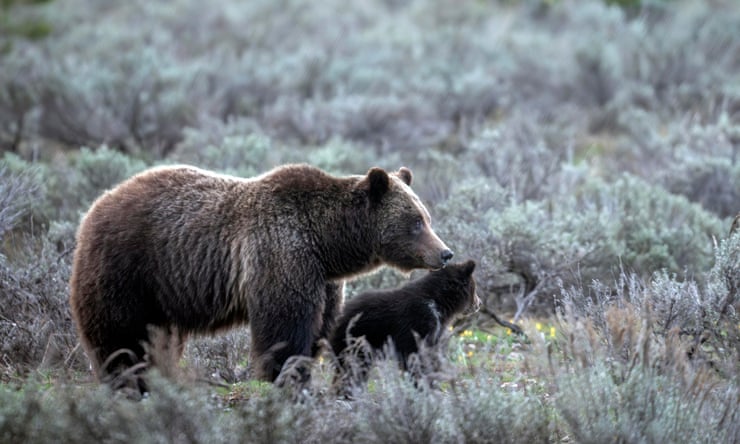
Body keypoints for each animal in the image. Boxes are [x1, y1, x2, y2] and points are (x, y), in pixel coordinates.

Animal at [68, 163, 453, 390]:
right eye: (415, 222)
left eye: (426, 217)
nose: (445, 253)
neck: (327, 243)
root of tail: (95, 206)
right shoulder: (282, 253)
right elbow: (284, 327)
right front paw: (285, 380)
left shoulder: (323, 279)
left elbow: (318, 328)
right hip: (128, 269)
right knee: (121, 336)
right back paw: (128, 382)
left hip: (162, 293)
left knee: (157, 339)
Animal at [329, 260, 480, 390]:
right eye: (474, 287)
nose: (479, 303)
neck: (438, 303)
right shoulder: (417, 322)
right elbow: (414, 355)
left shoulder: (435, 330)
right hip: (357, 340)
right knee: (353, 368)